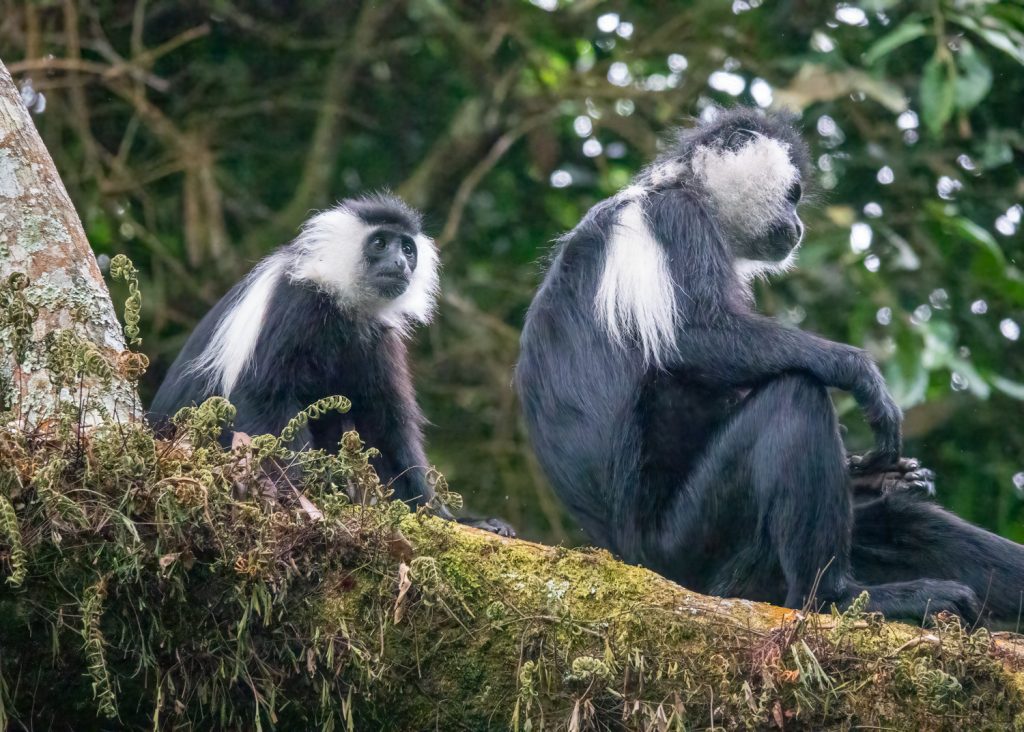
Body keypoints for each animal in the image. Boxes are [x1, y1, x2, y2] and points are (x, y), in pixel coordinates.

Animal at [152, 193, 513, 536]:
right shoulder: (293, 304)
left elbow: (383, 427)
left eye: (408, 249)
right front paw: (298, 497)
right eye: (380, 243)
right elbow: (263, 396)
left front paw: (457, 519)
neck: (342, 302)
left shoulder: (376, 341)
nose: (401, 263)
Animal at [515, 107, 1024, 623]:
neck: (683, 185)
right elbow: (694, 337)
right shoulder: (674, 218)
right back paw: (843, 597)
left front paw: (877, 475)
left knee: (906, 523)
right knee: (794, 398)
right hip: (691, 542)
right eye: (794, 195)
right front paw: (861, 376)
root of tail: (622, 551)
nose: (798, 227)